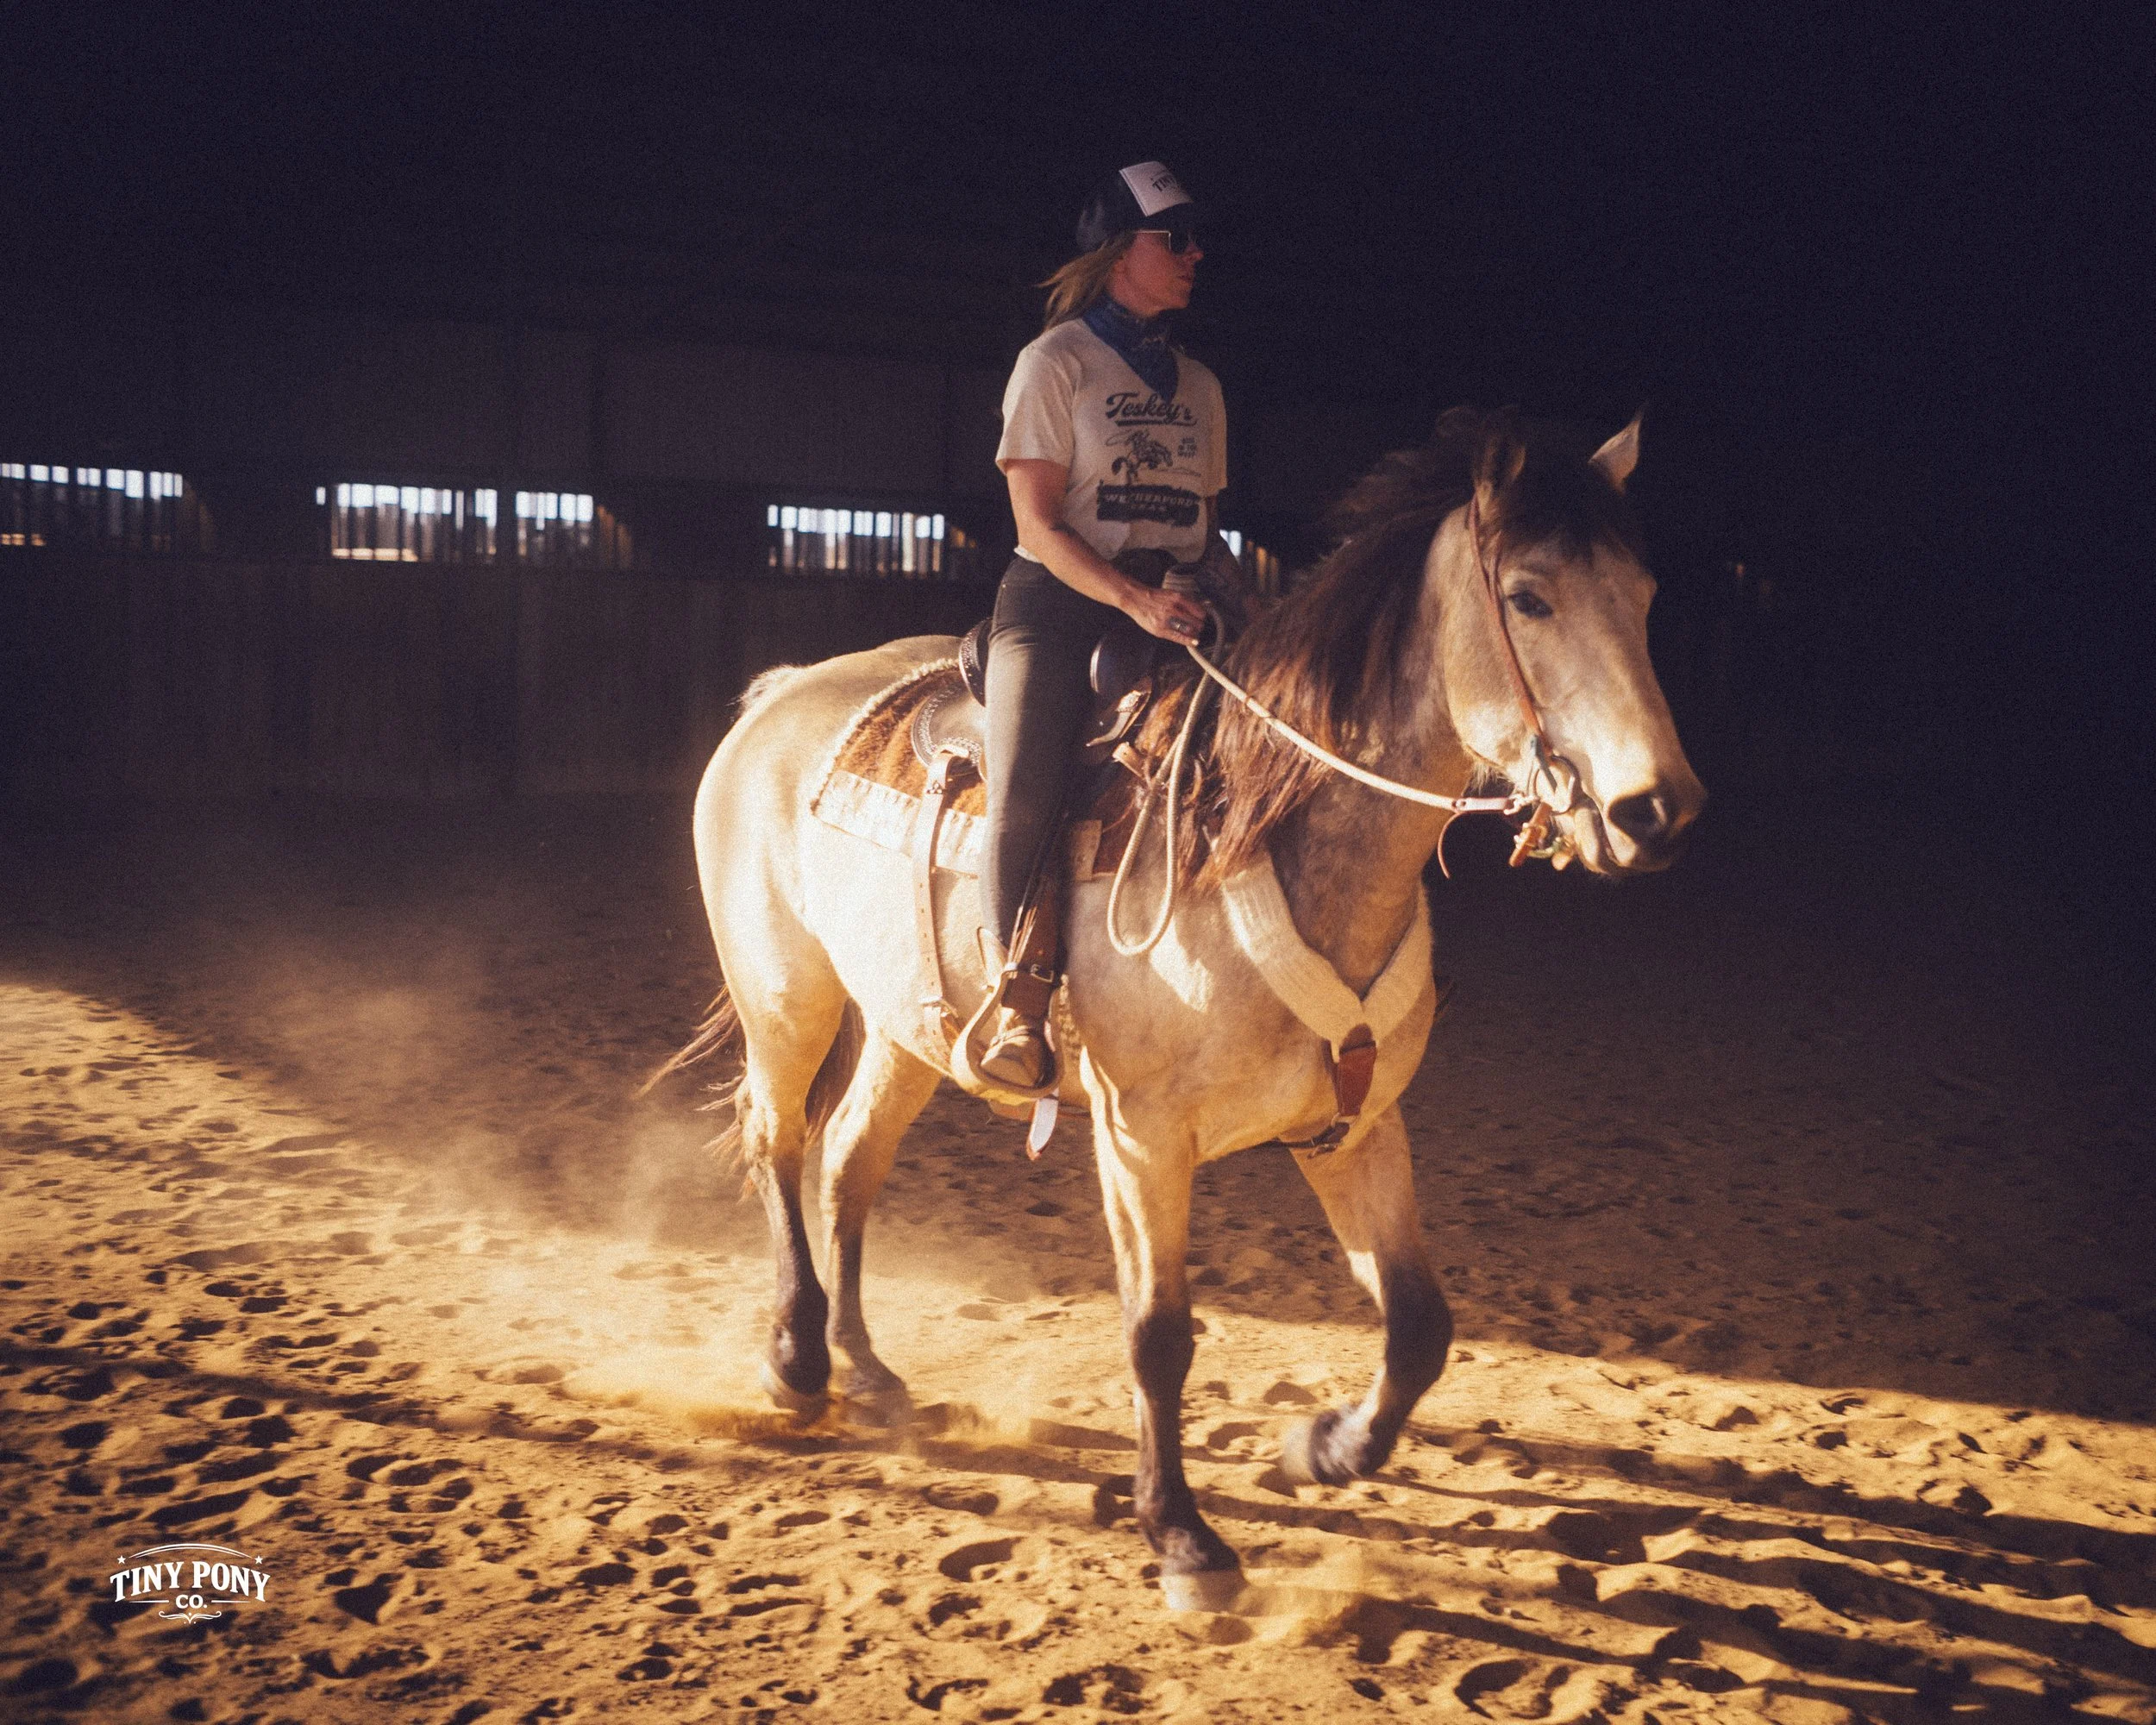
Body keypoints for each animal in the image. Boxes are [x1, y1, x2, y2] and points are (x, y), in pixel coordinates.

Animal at [662, 407, 1705, 1607]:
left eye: (1643, 593)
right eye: (1529, 596)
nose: (1657, 811)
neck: (1258, 834)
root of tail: (781, 692)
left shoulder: (1356, 1125)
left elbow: (1418, 1326)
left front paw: (1324, 1448)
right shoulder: (1141, 1139)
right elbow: (1158, 1334)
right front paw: (1183, 1537)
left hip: (902, 1028)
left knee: (845, 1163)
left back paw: (869, 1369)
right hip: (785, 994)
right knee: (778, 1138)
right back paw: (796, 1361)